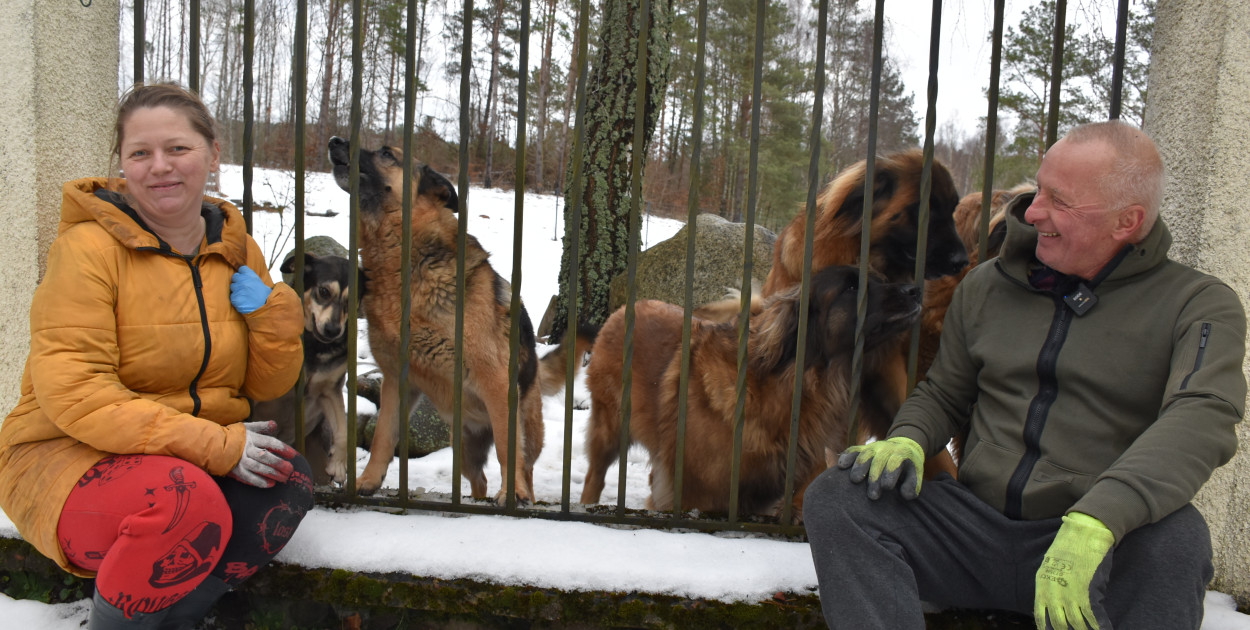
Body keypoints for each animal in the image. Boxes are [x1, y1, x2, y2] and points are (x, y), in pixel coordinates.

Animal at [251, 250, 355, 482]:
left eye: (351, 302)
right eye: (324, 291)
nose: (333, 331)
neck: (314, 346)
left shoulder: (328, 391)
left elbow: (343, 431)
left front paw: (338, 464)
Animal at [327, 137, 590, 502]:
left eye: (386, 153)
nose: (334, 141)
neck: (402, 263)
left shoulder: (495, 383)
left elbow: (508, 451)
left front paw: (512, 493)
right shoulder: (396, 382)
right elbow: (382, 437)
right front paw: (368, 481)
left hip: (524, 431)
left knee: (523, 464)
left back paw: (522, 492)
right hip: (461, 448)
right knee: (479, 478)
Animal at [580, 266, 925, 522]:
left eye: (880, 279)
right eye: (851, 288)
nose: (916, 290)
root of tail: (625, 309)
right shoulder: (694, 493)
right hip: (609, 428)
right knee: (595, 475)